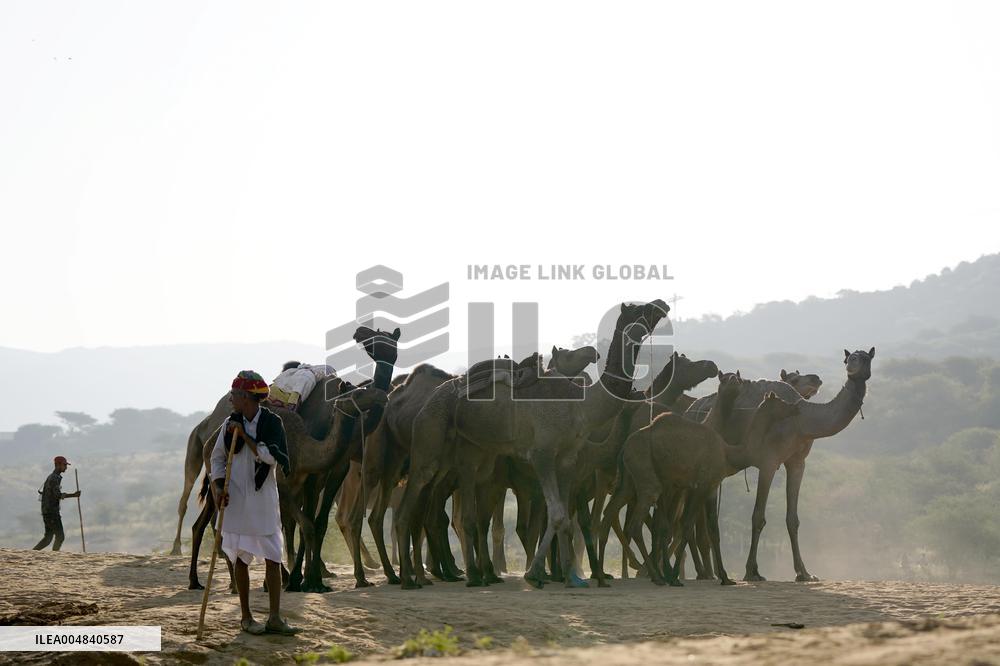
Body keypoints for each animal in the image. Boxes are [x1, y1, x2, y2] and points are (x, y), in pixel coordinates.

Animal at [397, 300, 669, 589]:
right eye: (641, 309)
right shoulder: (542, 453)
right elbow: (558, 514)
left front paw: (569, 577)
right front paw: (535, 574)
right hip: (430, 432)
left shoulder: (567, 457)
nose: (662, 305)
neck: (582, 405)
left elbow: (562, 517)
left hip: (470, 451)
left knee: (461, 505)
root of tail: (431, 398)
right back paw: (412, 579)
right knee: (412, 499)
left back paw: (472, 575)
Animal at [685, 348, 874, 581]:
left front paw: (804, 573)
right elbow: (758, 517)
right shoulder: (768, 461)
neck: (802, 419)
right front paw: (752, 572)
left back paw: (707, 572)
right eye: (851, 358)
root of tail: (689, 410)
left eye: (867, 357)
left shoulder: (798, 463)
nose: (856, 368)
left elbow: (793, 519)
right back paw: (703, 573)